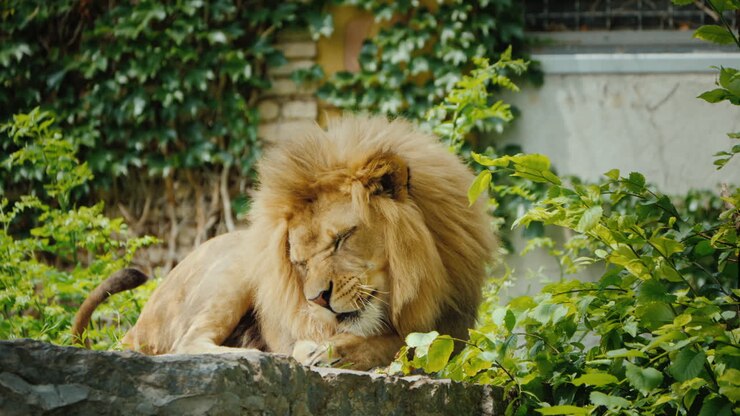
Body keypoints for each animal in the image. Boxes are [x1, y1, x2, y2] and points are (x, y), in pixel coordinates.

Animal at [72, 115, 496, 370]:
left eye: (341, 239)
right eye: (300, 262)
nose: (318, 300)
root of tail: (136, 327)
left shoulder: (453, 333)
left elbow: (402, 343)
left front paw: (336, 350)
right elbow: (388, 342)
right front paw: (319, 350)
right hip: (235, 269)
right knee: (186, 342)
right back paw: (256, 354)